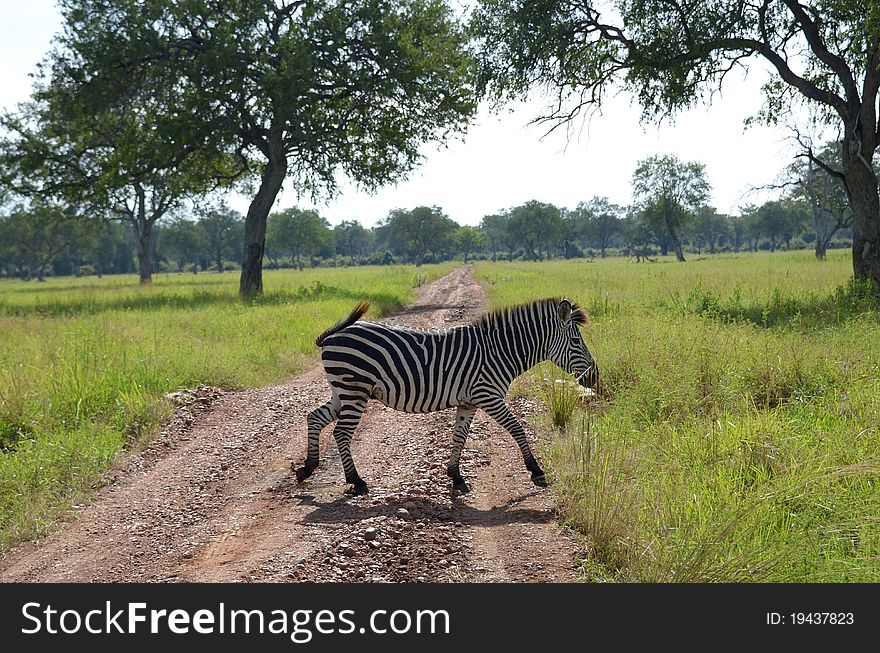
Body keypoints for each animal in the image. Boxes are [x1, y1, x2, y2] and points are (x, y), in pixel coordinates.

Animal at [296, 298, 600, 492]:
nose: (595, 377)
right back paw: (356, 481)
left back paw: (308, 468)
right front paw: (536, 470)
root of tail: (333, 337)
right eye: (576, 341)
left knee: (315, 417)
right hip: (354, 390)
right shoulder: (488, 395)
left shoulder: (469, 402)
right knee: (341, 433)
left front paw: (455, 477)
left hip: (343, 391)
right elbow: (517, 428)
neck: (500, 351)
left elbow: (459, 437)